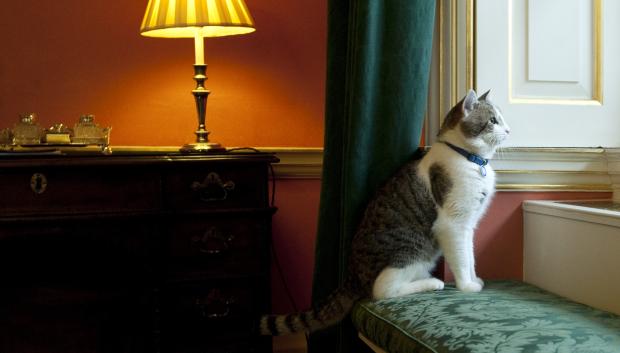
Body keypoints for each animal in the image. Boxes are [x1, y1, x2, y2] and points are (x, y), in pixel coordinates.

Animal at [260, 88, 512, 336]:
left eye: (501, 118)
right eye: (493, 120)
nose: (509, 129)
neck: (468, 158)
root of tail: (352, 275)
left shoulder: (468, 225)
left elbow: (469, 256)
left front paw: (474, 278)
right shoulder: (453, 223)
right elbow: (460, 258)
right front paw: (467, 286)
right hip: (411, 248)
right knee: (382, 290)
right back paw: (432, 283)